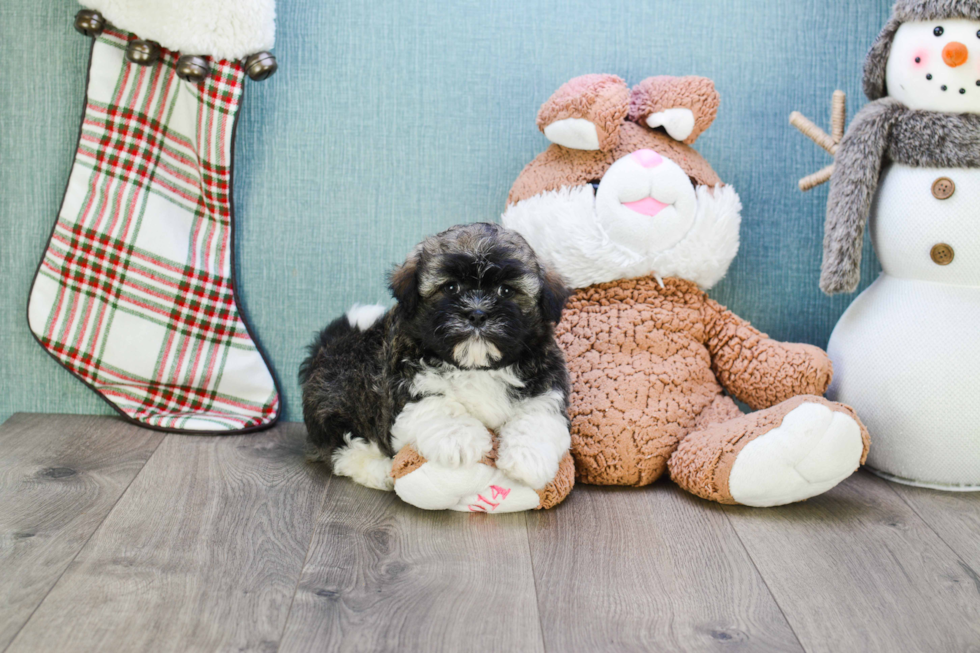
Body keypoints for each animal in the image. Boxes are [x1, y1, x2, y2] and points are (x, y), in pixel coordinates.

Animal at [300, 222, 576, 492]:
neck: (476, 367)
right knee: (344, 447)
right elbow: (437, 406)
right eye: (451, 287)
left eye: (506, 290)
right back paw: (380, 472)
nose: (477, 314)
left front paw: (528, 459)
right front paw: (462, 439)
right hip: (334, 406)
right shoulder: (402, 391)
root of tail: (328, 345)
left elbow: (538, 416)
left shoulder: (546, 383)